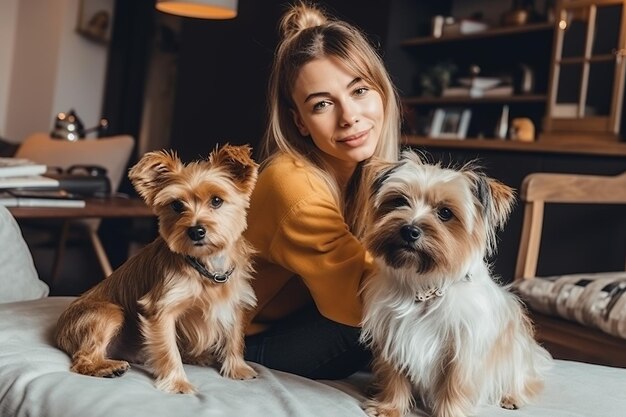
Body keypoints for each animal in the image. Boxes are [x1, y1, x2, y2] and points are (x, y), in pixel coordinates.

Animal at [358, 151, 548, 416]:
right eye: (398, 201)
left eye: (445, 213)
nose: (409, 230)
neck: (425, 285)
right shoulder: (393, 335)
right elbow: (394, 376)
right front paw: (390, 407)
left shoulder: (463, 346)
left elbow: (454, 384)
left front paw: (450, 413)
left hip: (515, 355)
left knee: (522, 379)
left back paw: (512, 396)